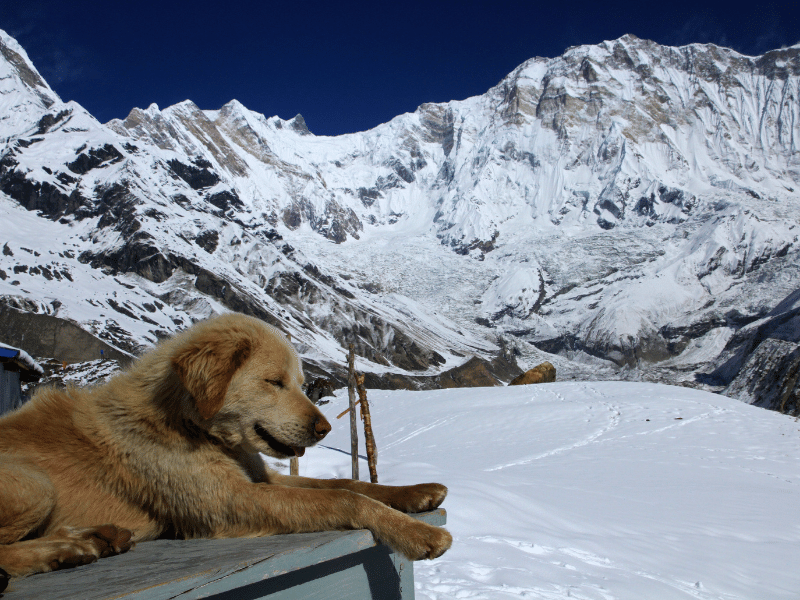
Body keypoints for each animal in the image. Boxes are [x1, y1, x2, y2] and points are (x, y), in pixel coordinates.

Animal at [0, 314, 450, 584]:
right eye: (274, 382)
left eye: (301, 382)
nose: (324, 428)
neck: (193, 423)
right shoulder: (229, 500)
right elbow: (345, 498)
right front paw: (417, 532)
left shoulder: (262, 477)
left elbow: (349, 483)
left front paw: (415, 492)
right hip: (34, 483)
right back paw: (68, 549)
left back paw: (99, 536)